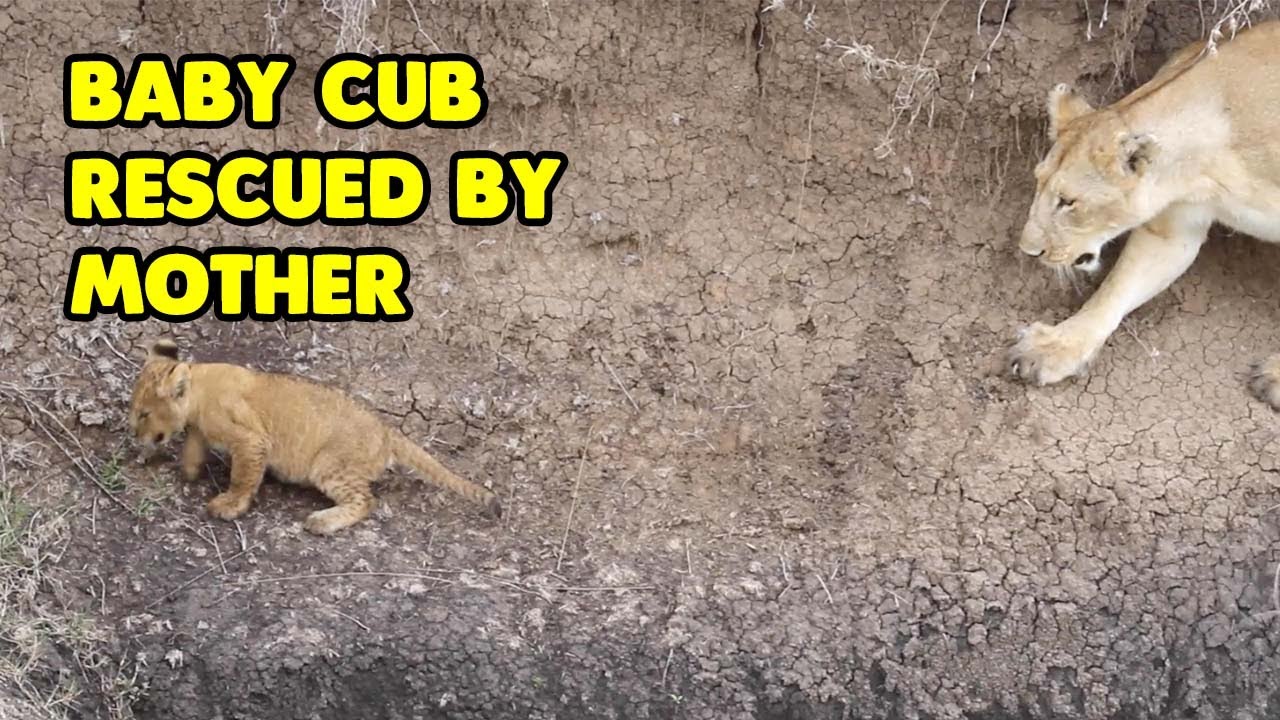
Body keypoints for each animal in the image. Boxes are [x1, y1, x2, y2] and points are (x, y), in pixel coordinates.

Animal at [128, 339, 501, 535]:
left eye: (144, 413)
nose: (133, 433)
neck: (198, 388)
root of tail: (386, 431)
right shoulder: (200, 430)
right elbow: (192, 449)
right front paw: (188, 472)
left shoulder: (251, 440)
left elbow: (242, 477)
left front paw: (229, 505)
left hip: (329, 465)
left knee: (365, 500)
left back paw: (321, 522)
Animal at [1008, 19, 1280, 406]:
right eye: (1037, 181)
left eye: (1068, 202)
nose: (1028, 251)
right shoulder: (1173, 228)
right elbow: (1116, 289)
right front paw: (1055, 347)